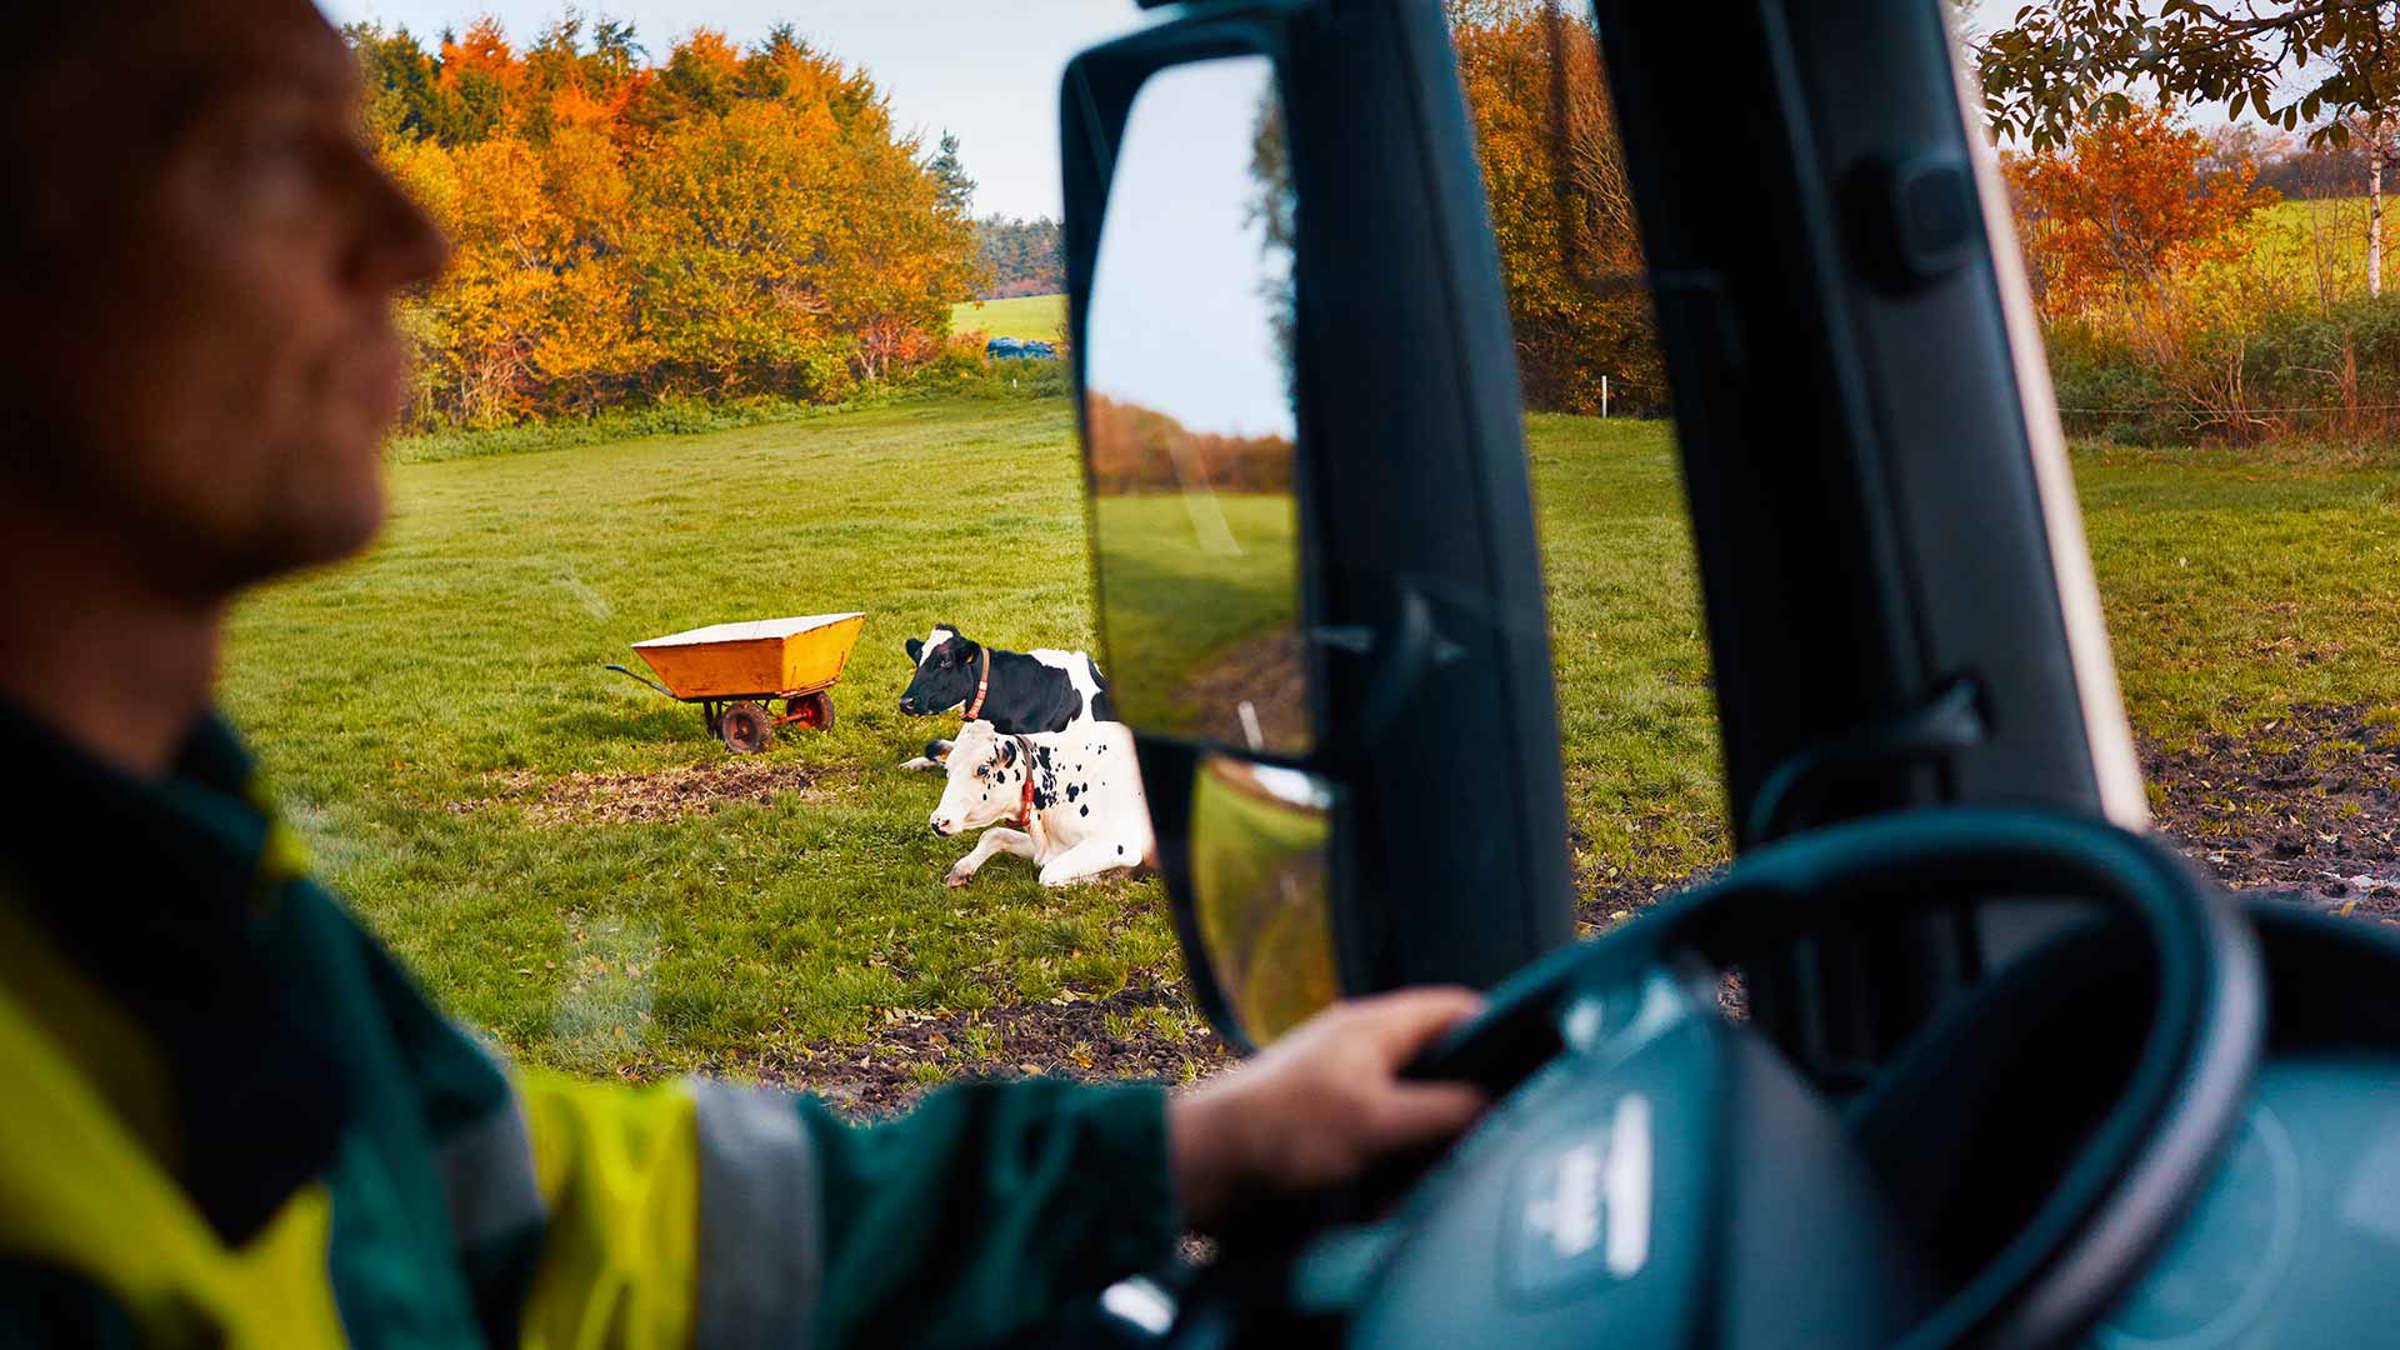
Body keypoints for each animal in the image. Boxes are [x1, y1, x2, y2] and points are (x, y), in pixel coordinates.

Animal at [926, 715, 1152, 883]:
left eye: (982, 768)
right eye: (948, 769)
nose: (938, 821)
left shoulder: (1120, 843)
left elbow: (1047, 874)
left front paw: (1105, 877)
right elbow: (994, 834)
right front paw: (961, 870)